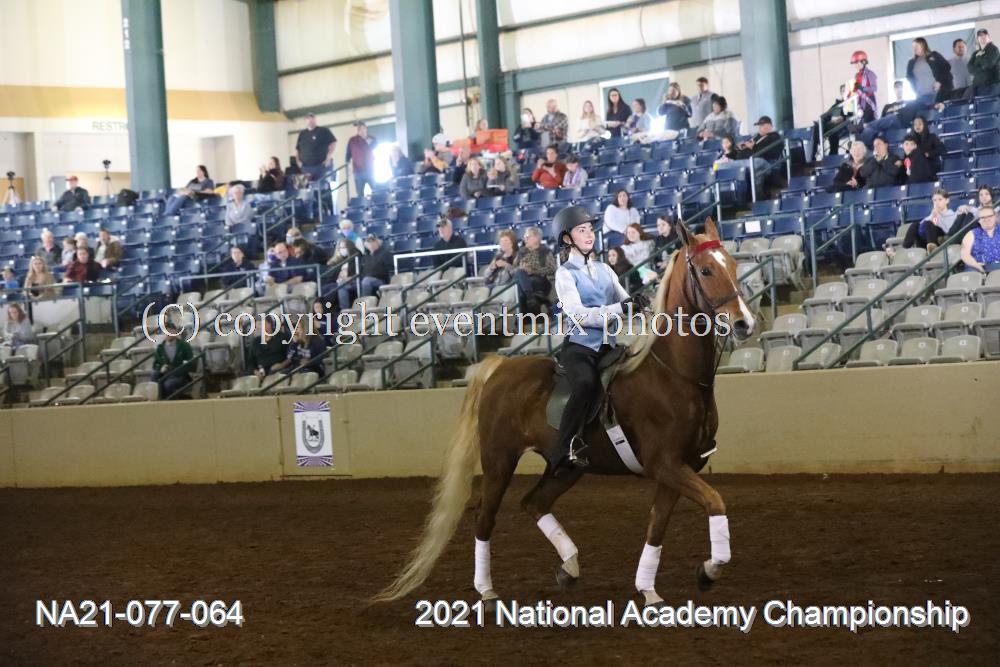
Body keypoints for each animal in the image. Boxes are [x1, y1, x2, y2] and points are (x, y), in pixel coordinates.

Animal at [374, 217, 756, 606]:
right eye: (706, 270)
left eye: (733, 265)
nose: (744, 323)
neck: (674, 375)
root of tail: (499, 367)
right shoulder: (665, 465)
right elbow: (716, 502)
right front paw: (708, 571)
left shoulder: (676, 469)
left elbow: (658, 528)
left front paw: (650, 590)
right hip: (499, 460)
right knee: (485, 517)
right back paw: (487, 590)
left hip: (566, 466)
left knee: (533, 503)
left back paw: (568, 567)